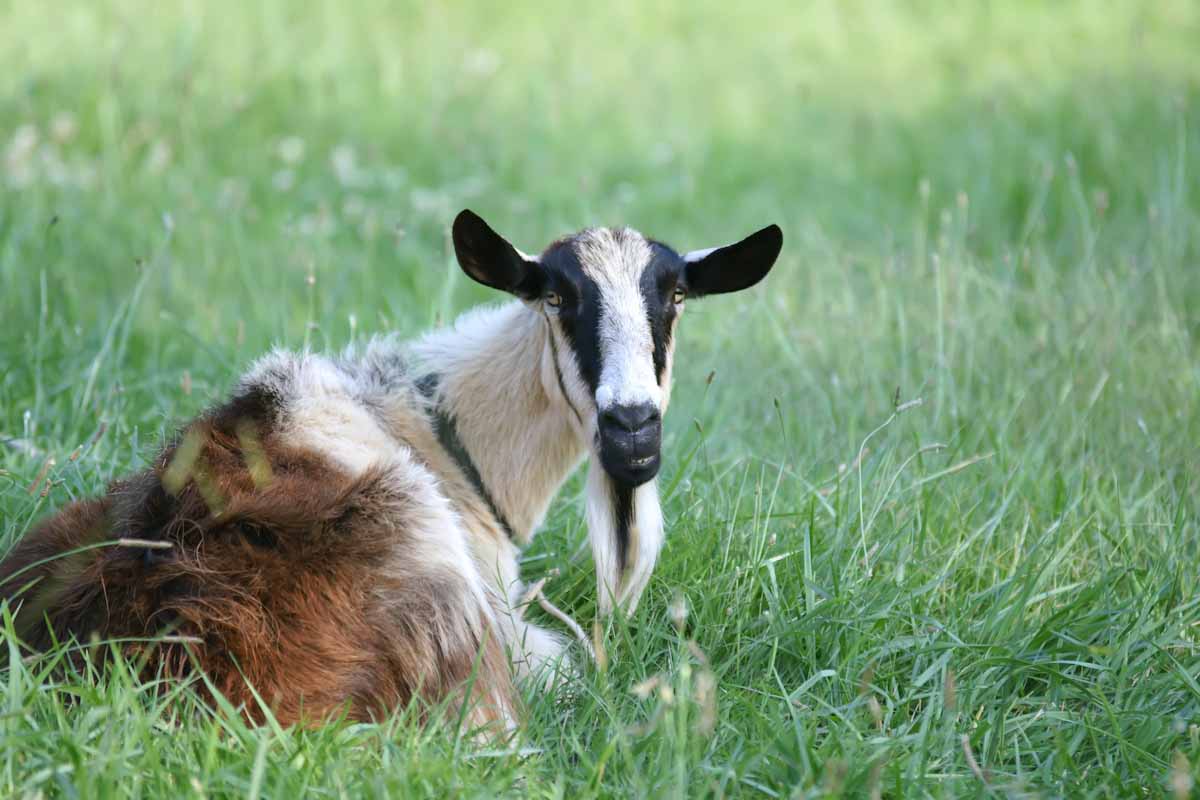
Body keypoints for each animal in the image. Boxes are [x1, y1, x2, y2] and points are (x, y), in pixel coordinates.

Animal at [0, 209, 782, 729]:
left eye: (674, 297)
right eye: (557, 297)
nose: (631, 428)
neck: (434, 431)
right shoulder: (511, 632)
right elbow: (571, 662)